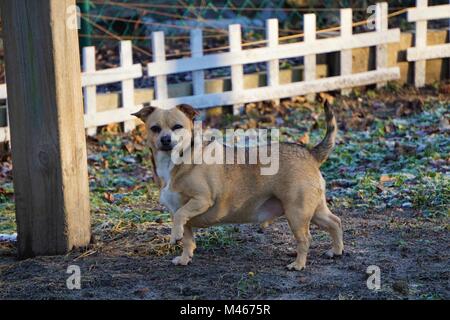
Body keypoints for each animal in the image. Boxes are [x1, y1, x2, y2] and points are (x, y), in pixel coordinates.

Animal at [132, 102, 342, 270]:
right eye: (155, 128)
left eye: (177, 127)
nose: (166, 139)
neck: (174, 161)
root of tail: (310, 153)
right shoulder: (182, 214)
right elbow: (187, 238)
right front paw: (184, 258)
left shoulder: (201, 200)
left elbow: (180, 217)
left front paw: (174, 235)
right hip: (314, 211)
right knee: (335, 222)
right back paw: (336, 250)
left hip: (297, 213)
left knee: (305, 239)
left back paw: (298, 264)